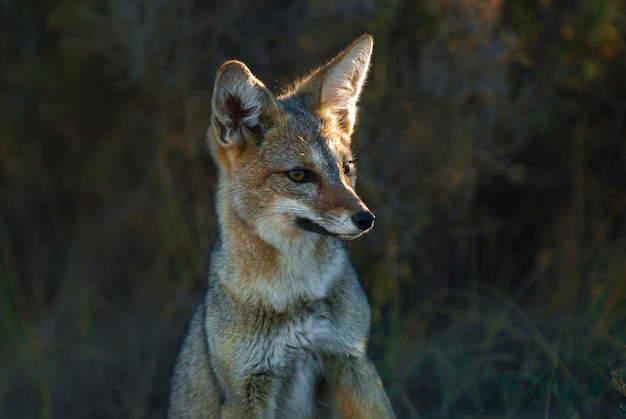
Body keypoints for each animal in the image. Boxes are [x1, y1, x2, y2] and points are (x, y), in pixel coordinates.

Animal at [169, 35, 394, 419]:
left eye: (346, 169)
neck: (297, 293)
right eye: (299, 175)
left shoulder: (351, 359)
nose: (366, 218)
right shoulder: (246, 389)